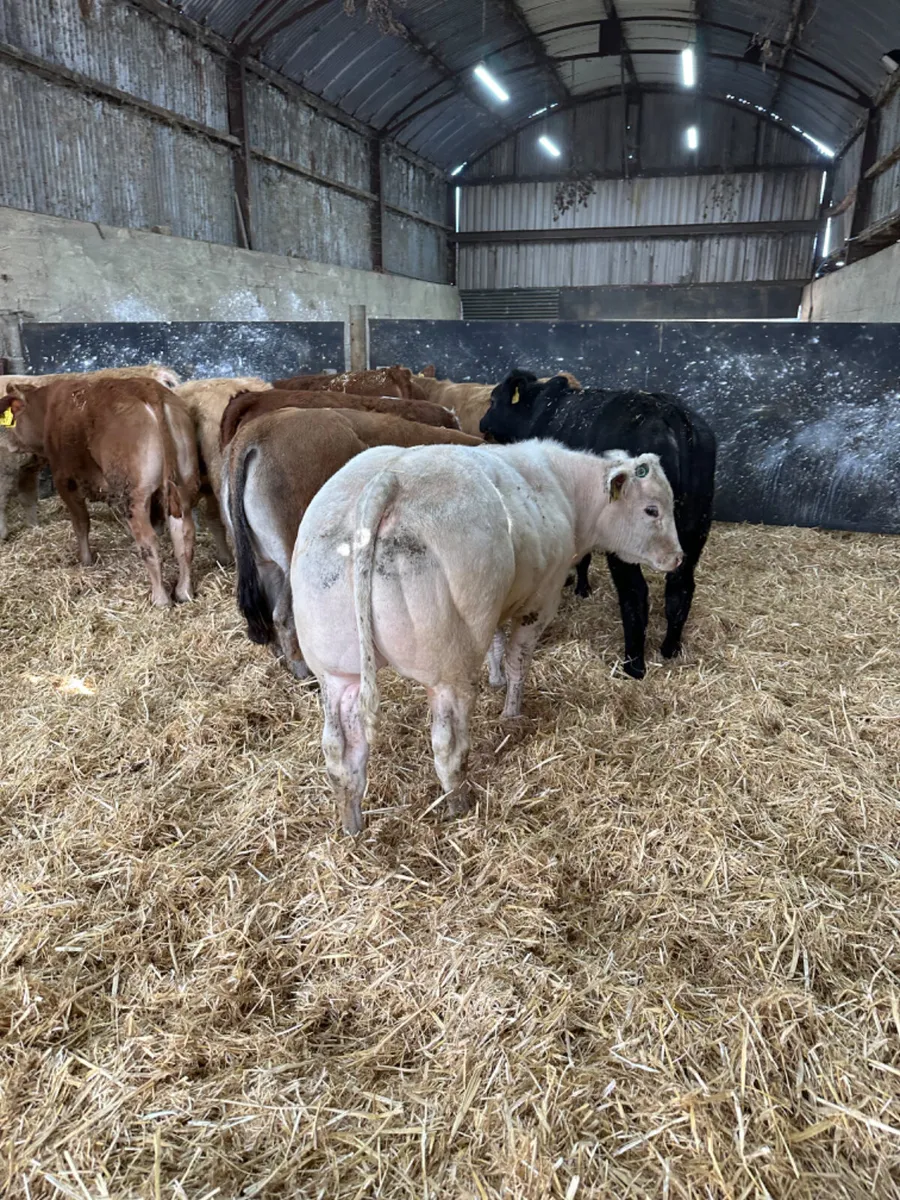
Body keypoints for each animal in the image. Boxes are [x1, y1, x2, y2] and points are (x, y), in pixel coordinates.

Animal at [1, 378, 199, 607]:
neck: (47, 409)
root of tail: (147, 389)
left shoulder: (66, 481)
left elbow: (81, 524)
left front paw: (86, 561)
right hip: (183, 488)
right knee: (184, 536)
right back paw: (184, 591)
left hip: (134, 496)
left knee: (149, 542)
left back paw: (160, 598)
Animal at [291, 440, 682, 834]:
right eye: (652, 509)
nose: (678, 558)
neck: (562, 487)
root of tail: (388, 479)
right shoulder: (540, 601)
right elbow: (517, 661)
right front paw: (511, 712)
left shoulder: (495, 606)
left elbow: (496, 641)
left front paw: (496, 680)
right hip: (449, 672)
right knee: (448, 748)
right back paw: (458, 805)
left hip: (337, 672)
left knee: (340, 753)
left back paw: (352, 824)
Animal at [479, 371, 717, 679]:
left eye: (493, 399)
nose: (482, 424)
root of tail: (673, 416)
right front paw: (583, 588)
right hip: (694, 531)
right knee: (680, 589)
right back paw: (670, 649)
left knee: (635, 595)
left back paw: (633, 665)